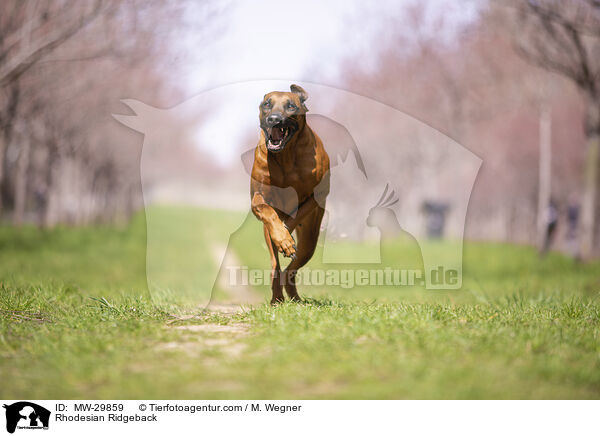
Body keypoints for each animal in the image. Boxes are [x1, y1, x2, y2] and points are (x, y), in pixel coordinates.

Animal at [251, 84, 330, 304]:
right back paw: (277, 298)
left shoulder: (319, 193)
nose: (274, 119)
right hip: (268, 236)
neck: (284, 155)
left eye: (291, 106)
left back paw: (294, 297)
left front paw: (286, 234)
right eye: (267, 104)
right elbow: (264, 209)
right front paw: (282, 237)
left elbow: (297, 214)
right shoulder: (257, 196)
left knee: (291, 269)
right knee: (276, 267)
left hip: (310, 239)